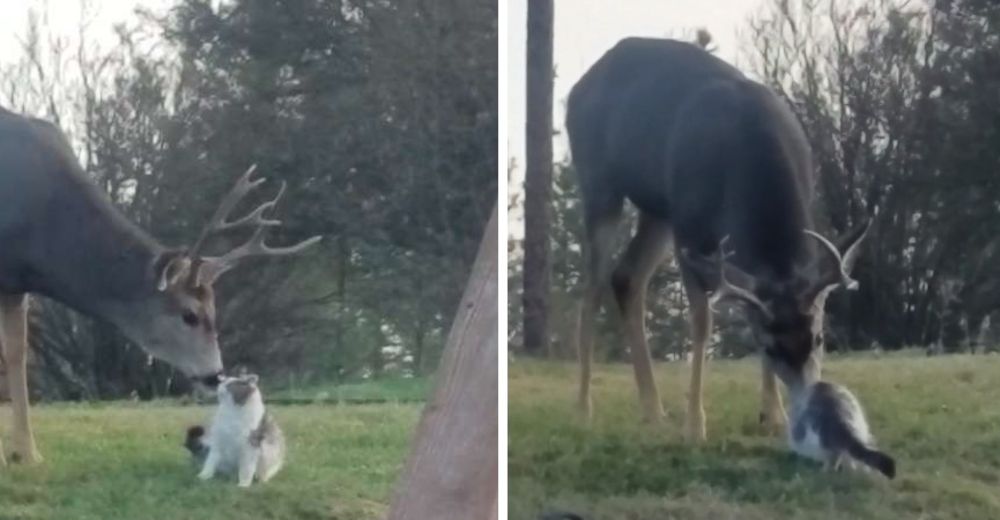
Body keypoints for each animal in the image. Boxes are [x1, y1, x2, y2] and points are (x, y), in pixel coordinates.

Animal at [0, 105, 320, 464]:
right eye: (190, 315)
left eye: (215, 312)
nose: (215, 374)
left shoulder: (16, 284)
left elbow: (16, 354)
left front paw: (28, 455)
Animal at [568, 37, 872, 442]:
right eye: (769, 346)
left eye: (820, 339)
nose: (810, 407)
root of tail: (578, 88)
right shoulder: (690, 226)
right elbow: (701, 321)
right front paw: (695, 425)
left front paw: (773, 416)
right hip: (602, 186)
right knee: (591, 290)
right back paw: (584, 409)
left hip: (659, 208)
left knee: (626, 277)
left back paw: (653, 411)